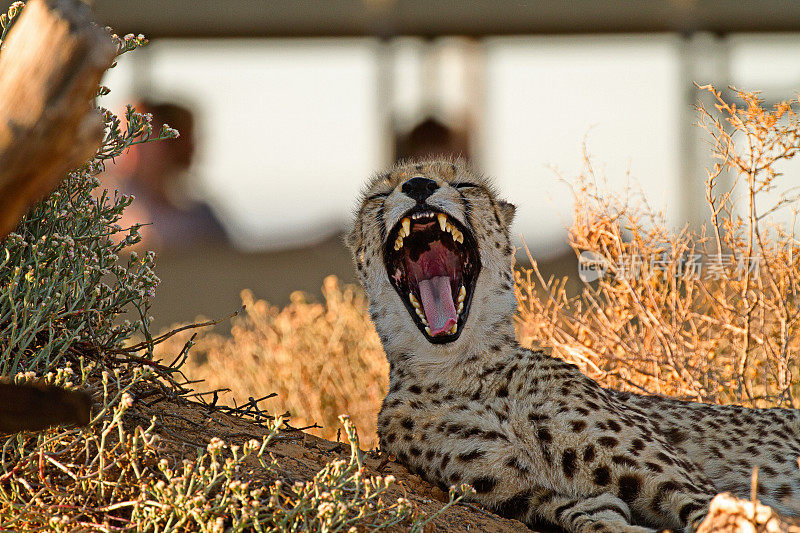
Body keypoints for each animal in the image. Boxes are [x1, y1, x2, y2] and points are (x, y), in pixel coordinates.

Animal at [346, 159, 800, 532]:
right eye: (379, 195)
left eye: (463, 183)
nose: (418, 185)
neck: (463, 370)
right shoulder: (521, 495)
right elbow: (581, 512)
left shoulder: (689, 486)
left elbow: (712, 511)